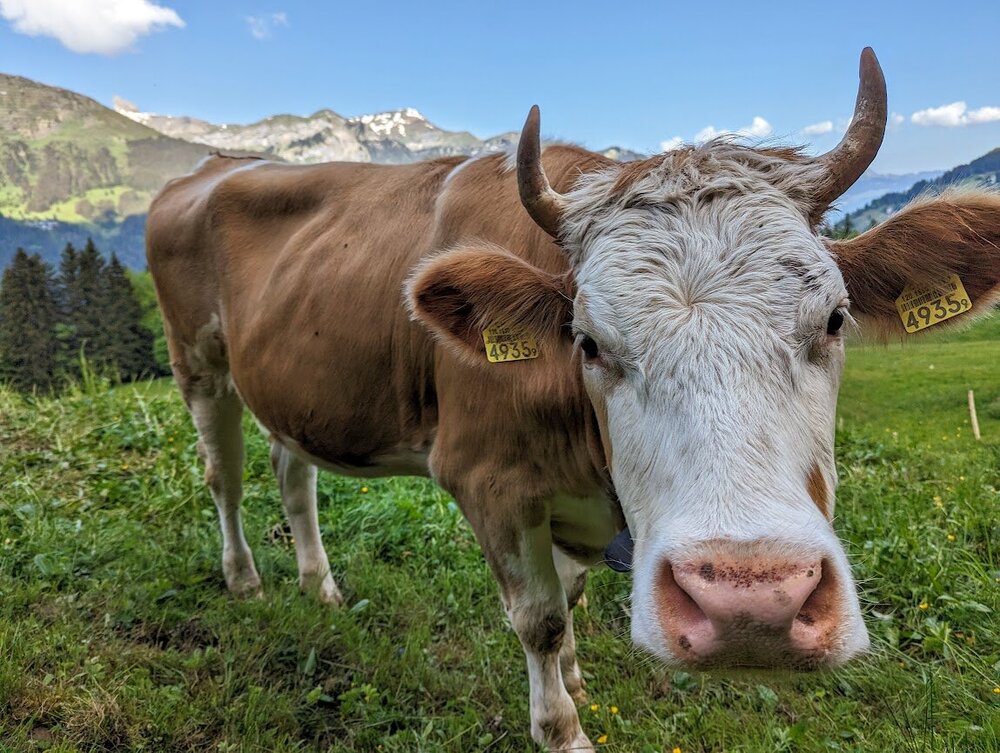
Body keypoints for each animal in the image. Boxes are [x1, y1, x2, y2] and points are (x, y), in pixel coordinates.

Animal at [146, 48, 1000, 751]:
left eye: (834, 319)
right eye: (587, 341)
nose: (750, 604)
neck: (595, 469)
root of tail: (217, 164)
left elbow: (574, 590)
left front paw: (580, 676)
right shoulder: (485, 480)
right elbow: (542, 617)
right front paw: (562, 725)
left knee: (295, 477)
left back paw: (319, 585)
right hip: (198, 362)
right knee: (223, 475)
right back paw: (244, 578)